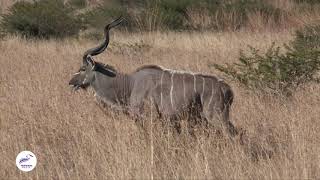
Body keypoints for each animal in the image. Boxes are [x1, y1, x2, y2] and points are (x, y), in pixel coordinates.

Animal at [69, 17, 238, 137]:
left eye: (82, 68)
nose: (70, 82)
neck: (129, 84)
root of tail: (227, 89)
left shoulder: (148, 118)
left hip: (216, 117)